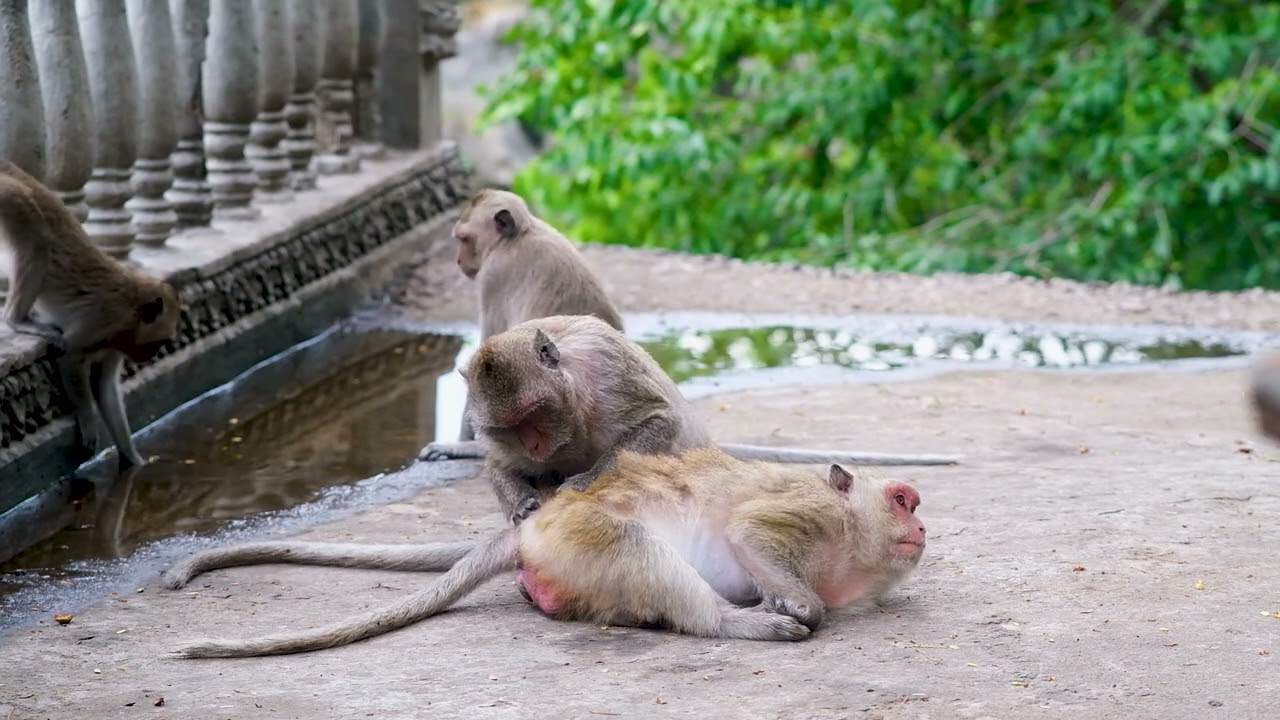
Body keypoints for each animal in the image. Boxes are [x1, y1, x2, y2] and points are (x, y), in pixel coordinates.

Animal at [0, 159, 182, 468]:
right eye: (159, 342)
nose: (151, 355)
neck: (132, 310)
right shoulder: (105, 321)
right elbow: (70, 357)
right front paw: (87, 418)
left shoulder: (117, 342)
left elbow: (106, 388)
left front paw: (135, 461)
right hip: (8, 198)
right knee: (37, 240)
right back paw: (17, 319)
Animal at [168, 447, 927, 658]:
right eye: (902, 500)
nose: (923, 526)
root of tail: (534, 527)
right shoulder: (808, 513)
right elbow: (751, 533)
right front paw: (793, 604)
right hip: (583, 534)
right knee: (635, 547)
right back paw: (737, 624)